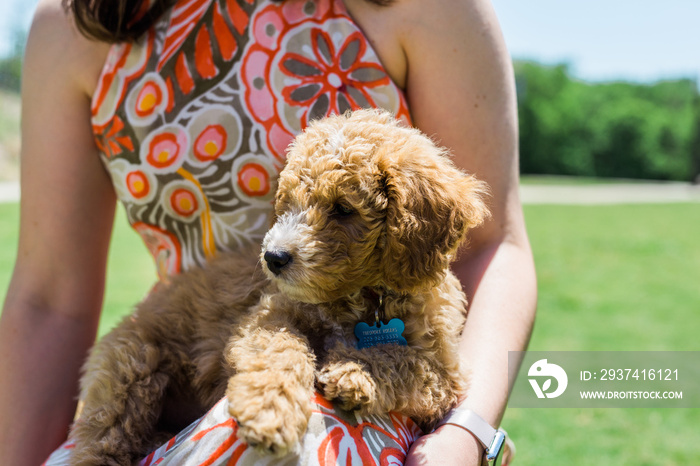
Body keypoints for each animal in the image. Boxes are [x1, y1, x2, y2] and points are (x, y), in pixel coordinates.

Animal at [68, 109, 490, 462]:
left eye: (343, 209)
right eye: (287, 204)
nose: (273, 257)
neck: (363, 296)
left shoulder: (446, 369)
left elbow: (409, 362)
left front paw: (354, 373)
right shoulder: (270, 312)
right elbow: (279, 352)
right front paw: (270, 411)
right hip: (130, 368)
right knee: (102, 442)